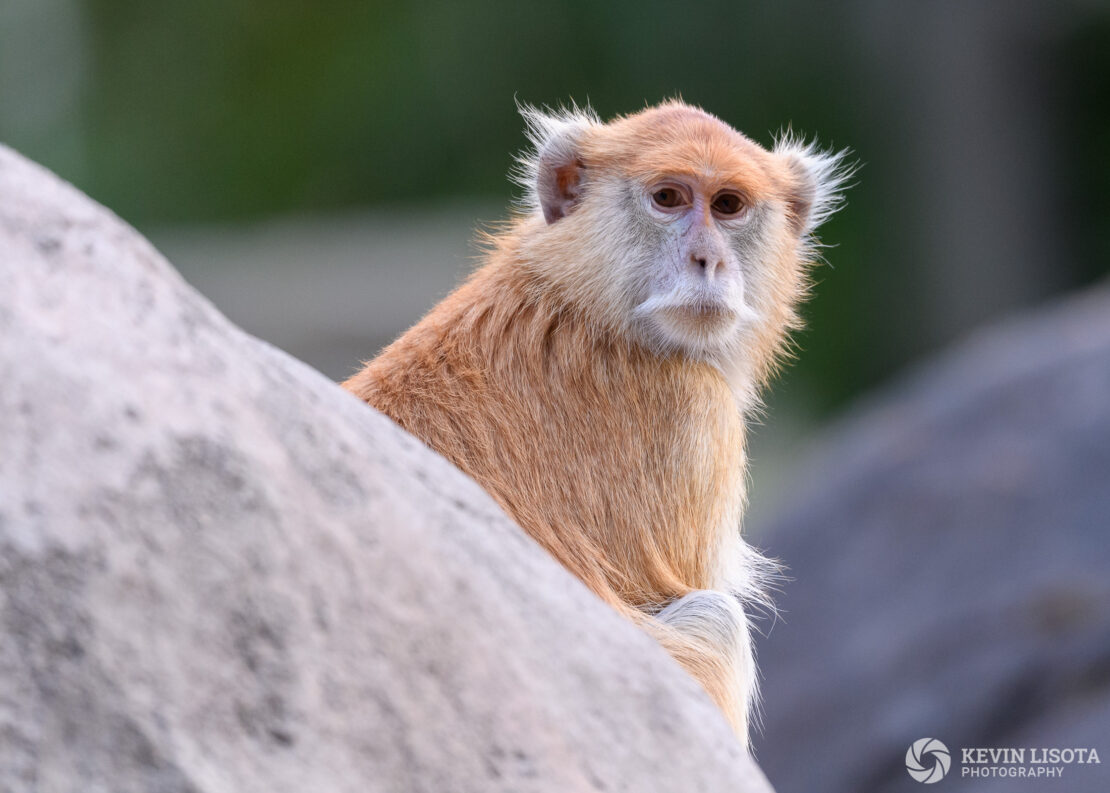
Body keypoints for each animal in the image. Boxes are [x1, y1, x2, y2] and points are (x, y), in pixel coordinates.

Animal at [346, 102, 848, 746]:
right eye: (668, 198)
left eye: (729, 205)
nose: (707, 261)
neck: (583, 303)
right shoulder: (694, 412)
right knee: (716, 621)